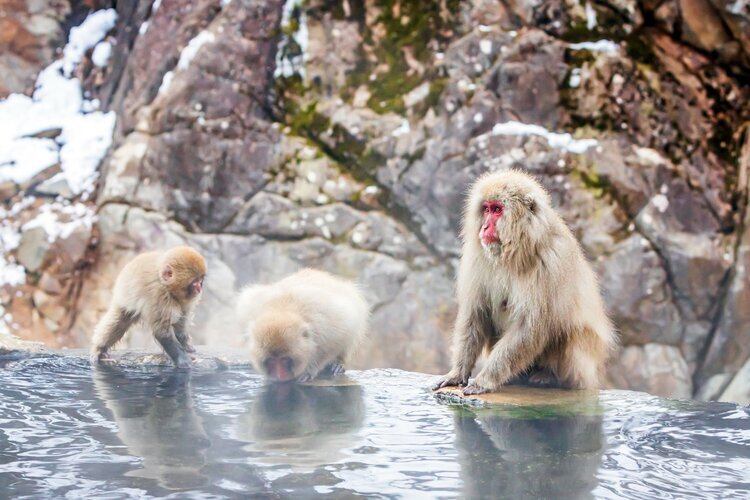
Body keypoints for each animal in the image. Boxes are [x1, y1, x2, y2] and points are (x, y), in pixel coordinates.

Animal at [236, 268, 369, 383]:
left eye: (284, 359)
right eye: (271, 360)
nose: (280, 375)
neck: (282, 308)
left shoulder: (328, 324)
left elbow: (333, 343)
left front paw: (310, 370)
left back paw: (338, 363)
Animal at [433, 169, 617, 395]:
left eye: (497, 209)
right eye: (486, 209)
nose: (484, 226)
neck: (516, 251)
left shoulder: (552, 262)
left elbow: (531, 327)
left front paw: (485, 380)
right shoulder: (477, 258)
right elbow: (476, 313)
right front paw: (457, 373)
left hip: (582, 368)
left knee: (572, 331)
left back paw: (549, 376)